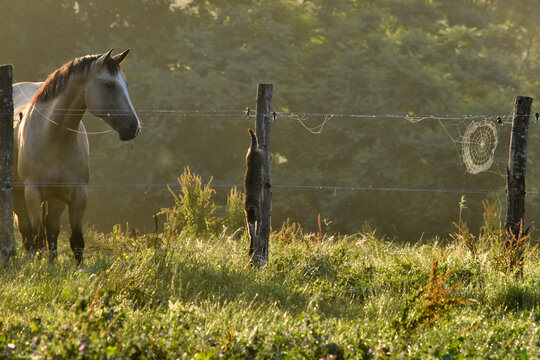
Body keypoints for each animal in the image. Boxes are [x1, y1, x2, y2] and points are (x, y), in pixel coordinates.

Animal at [14, 49, 141, 262]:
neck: (53, 137)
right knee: (28, 234)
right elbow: (37, 239)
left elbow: (76, 241)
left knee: (51, 230)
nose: (133, 127)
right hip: (18, 195)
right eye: (109, 85)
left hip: (55, 198)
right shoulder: (32, 193)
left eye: (126, 83)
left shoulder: (78, 195)